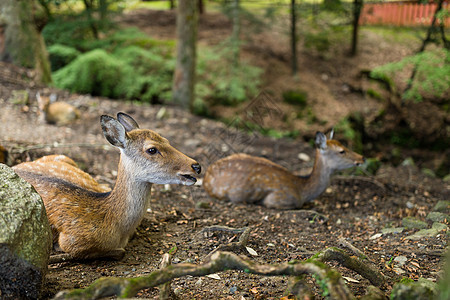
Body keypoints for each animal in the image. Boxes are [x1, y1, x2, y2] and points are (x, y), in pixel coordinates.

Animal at [13, 112, 200, 262]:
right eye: (152, 150)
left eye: (167, 141)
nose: (196, 166)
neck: (116, 227)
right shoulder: (72, 240)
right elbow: (119, 252)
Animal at [204, 132, 366, 210]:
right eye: (342, 151)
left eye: (344, 145)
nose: (362, 157)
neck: (302, 191)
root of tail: (206, 175)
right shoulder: (278, 199)